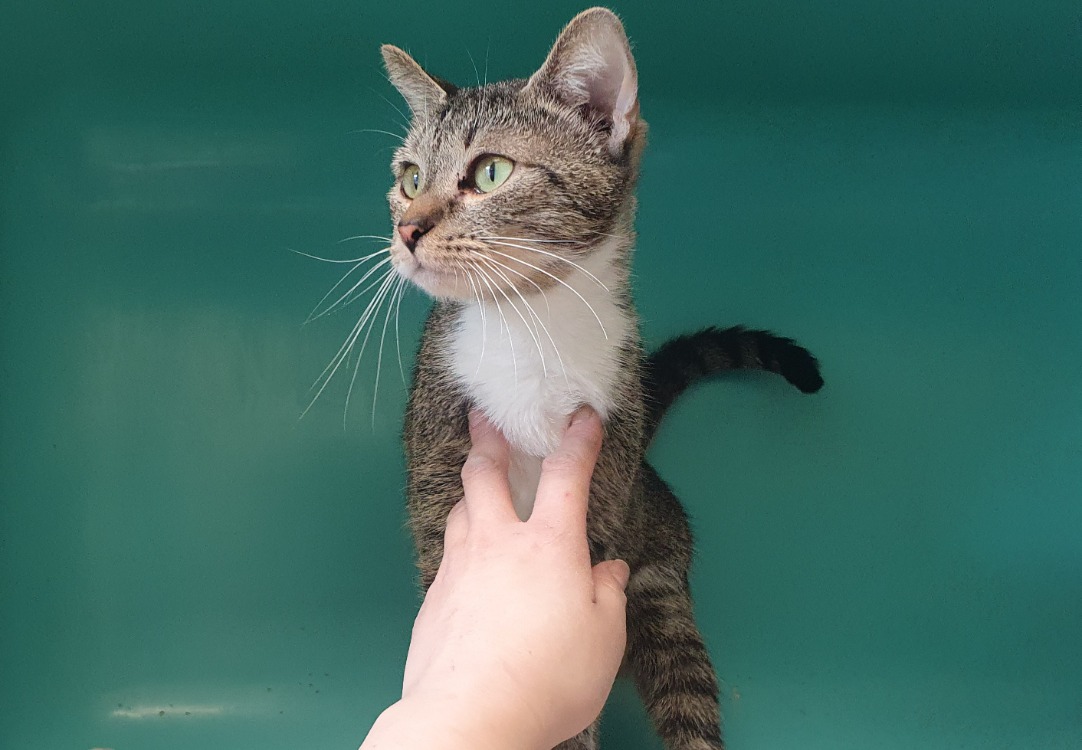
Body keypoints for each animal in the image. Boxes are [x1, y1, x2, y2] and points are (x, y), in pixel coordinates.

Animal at [376, 8, 823, 750]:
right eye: (410, 178)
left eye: (490, 172)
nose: (407, 229)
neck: (530, 326)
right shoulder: (439, 466)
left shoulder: (603, 483)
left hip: (661, 583)